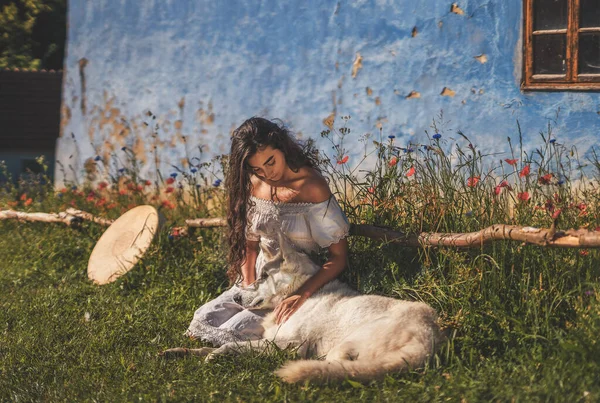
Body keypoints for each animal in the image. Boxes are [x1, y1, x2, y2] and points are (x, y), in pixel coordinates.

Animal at [162, 234, 442, 386]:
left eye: (263, 276)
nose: (237, 296)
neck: (300, 294)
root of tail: (428, 338)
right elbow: (207, 347)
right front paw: (179, 352)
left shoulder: (288, 344)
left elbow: (229, 345)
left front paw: (217, 355)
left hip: (344, 344)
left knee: (339, 367)